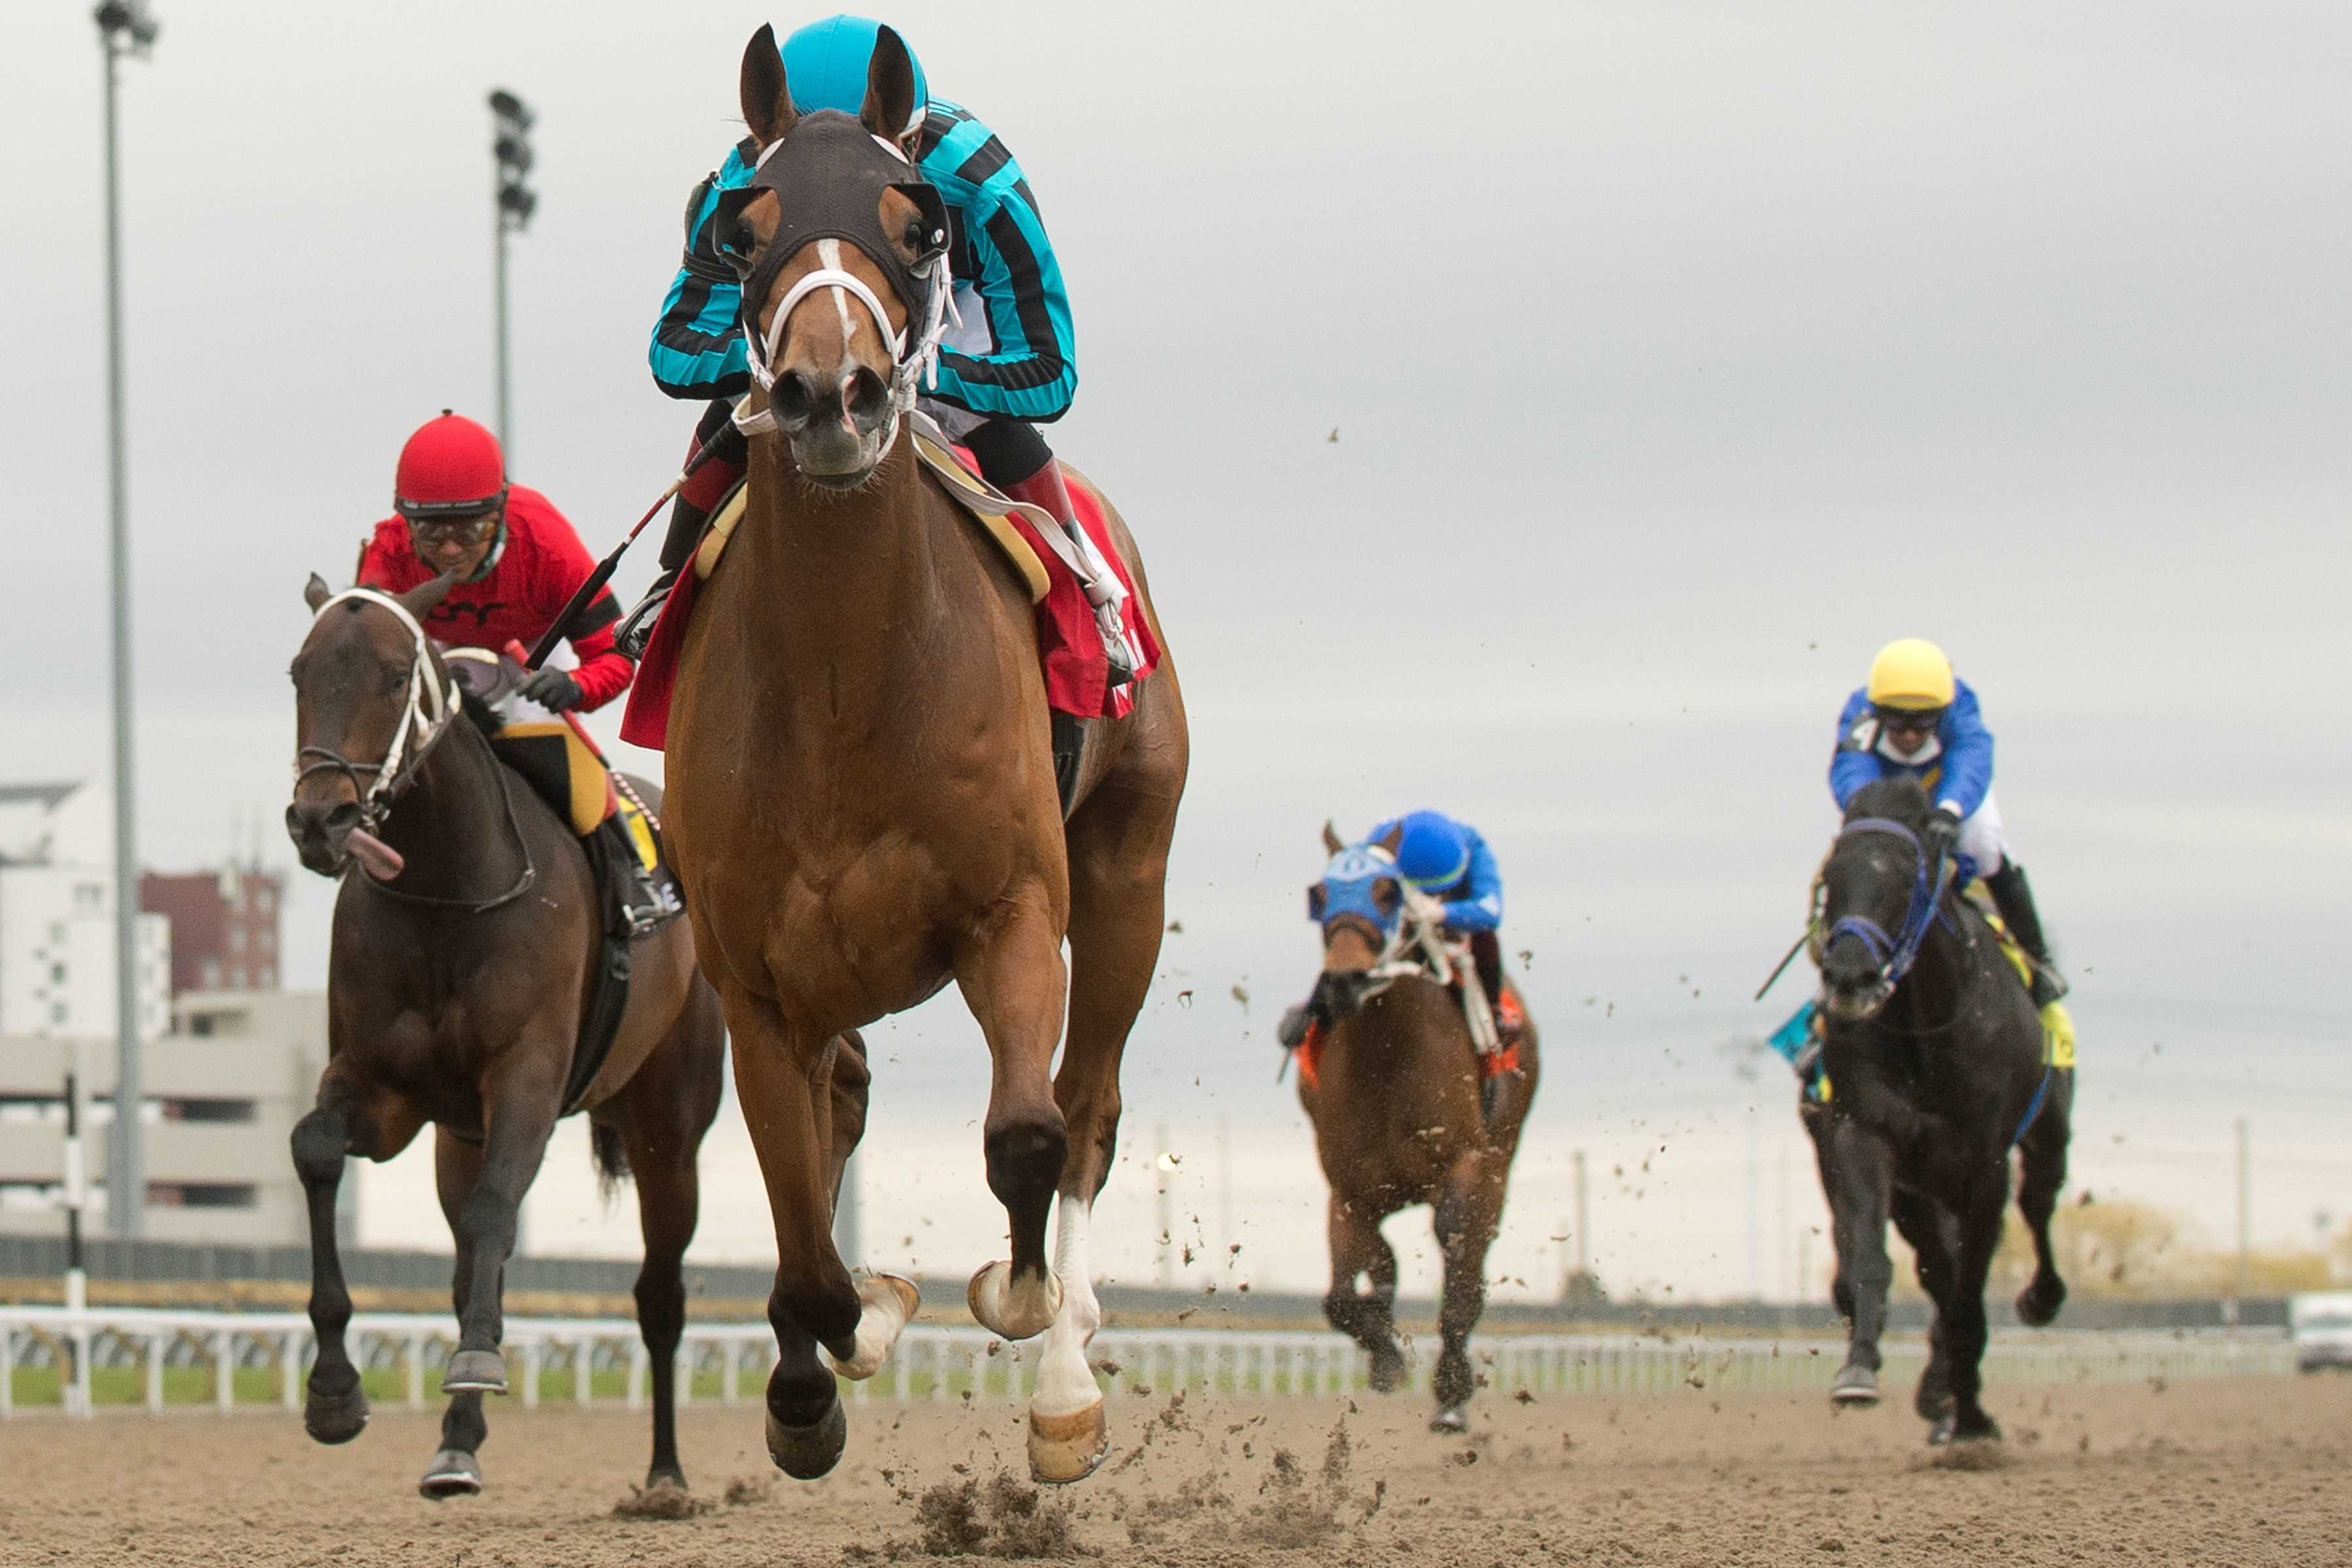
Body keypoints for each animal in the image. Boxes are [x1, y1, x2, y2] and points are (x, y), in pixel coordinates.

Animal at [283, 576, 724, 1495]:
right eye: (300, 672)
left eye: (393, 678)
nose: (320, 821)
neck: (448, 891)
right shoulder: (383, 1088)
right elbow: (316, 1148)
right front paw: (335, 1392)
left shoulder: (527, 1075)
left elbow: (496, 1214)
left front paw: (479, 1361)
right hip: (459, 1134)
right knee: (464, 1267)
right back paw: (456, 1445)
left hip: (669, 1124)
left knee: (660, 1294)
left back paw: (667, 1474)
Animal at [1298, 832, 1533, 1439]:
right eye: (1320, 894)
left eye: (1387, 891)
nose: (1344, 981)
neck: (1387, 1054)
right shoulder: (1351, 1193)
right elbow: (1342, 1298)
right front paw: (1385, 1356)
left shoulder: (1465, 1169)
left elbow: (1457, 1274)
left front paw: (1449, 1391)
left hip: (1497, 1166)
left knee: (1468, 1269)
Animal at [1806, 776, 2070, 1448]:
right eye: (1831, 878)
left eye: (1906, 879)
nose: (1849, 977)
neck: (1927, 1026)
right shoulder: (1863, 1134)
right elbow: (1875, 1261)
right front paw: (1858, 1371)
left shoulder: (1984, 1167)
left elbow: (1971, 1296)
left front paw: (1972, 1418)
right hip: (1917, 1190)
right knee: (1936, 1268)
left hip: (2047, 1131)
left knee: (2039, 1204)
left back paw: (2039, 1301)